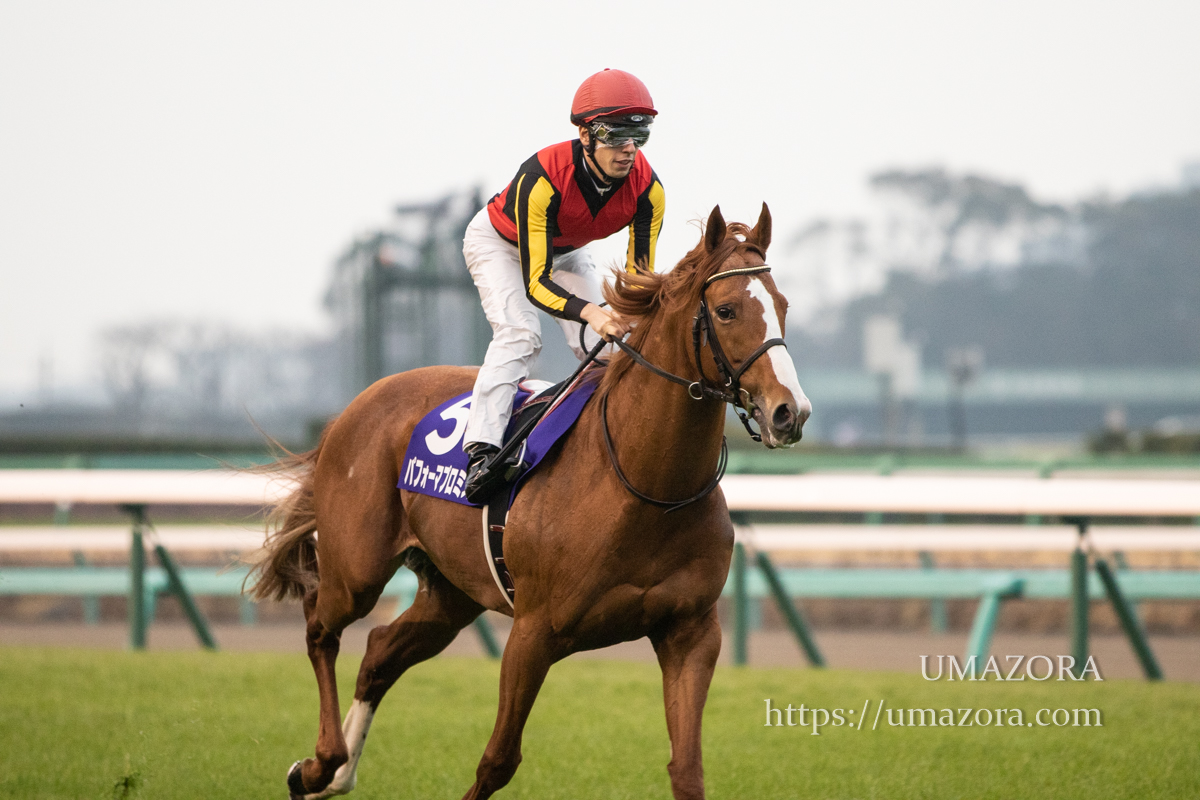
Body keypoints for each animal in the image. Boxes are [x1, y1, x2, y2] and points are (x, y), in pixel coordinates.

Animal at [253, 203, 816, 796]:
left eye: (782, 306)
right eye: (727, 311)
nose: (789, 412)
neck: (648, 489)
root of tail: (355, 406)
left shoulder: (691, 632)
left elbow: (687, 769)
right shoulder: (533, 631)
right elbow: (498, 759)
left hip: (452, 591)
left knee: (381, 650)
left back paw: (336, 774)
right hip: (357, 568)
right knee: (320, 625)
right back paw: (320, 763)